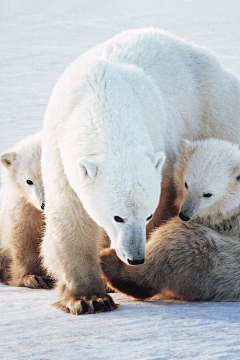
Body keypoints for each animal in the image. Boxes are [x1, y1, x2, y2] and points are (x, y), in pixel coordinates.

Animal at [101, 139, 240, 302]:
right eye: (186, 184)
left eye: (208, 194)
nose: (184, 215)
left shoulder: (225, 223)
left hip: (221, 257)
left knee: (174, 243)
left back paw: (109, 260)